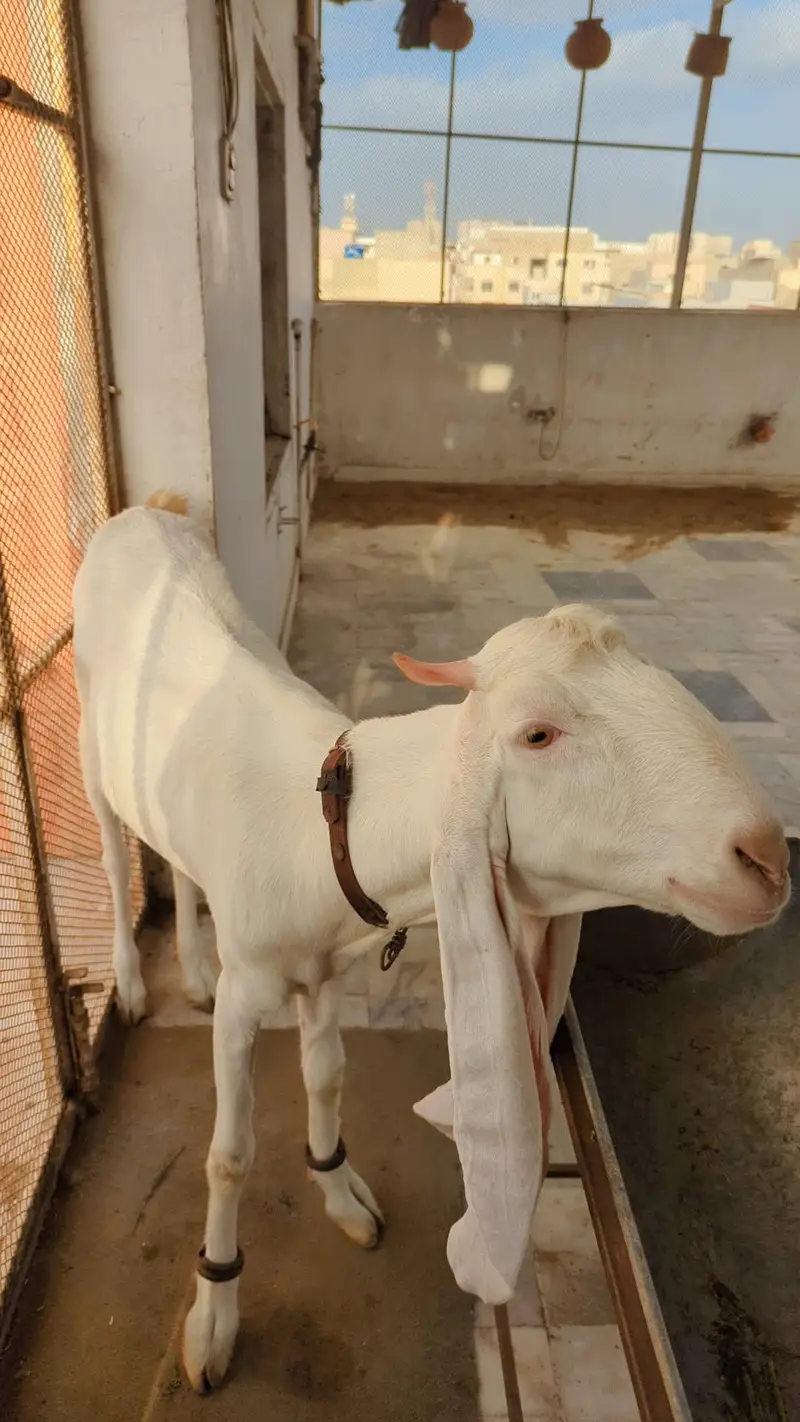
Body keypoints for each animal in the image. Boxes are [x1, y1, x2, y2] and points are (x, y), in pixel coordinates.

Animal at [73, 491, 790, 1392]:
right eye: (536, 735)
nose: (766, 857)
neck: (325, 824)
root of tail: (143, 510)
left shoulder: (324, 972)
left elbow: (328, 1076)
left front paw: (340, 1194)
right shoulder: (250, 995)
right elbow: (229, 1156)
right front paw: (212, 1320)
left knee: (177, 859)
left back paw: (193, 970)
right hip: (92, 756)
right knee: (113, 853)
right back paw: (135, 986)